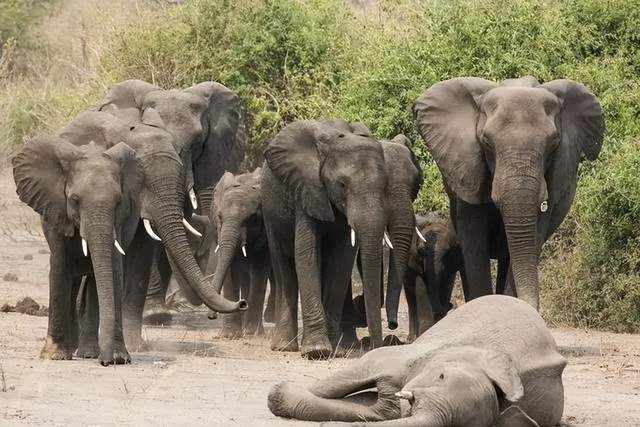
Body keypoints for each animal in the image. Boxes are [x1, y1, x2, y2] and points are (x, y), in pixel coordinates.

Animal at [13, 137, 144, 365]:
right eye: (74, 199)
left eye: (119, 202)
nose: (105, 362)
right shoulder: (55, 211)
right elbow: (59, 267)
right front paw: (55, 355)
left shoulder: (119, 222)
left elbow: (114, 272)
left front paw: (119, 358)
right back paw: (72, 349)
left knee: (91, 280)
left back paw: (87, 352)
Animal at [208, 167, 274, 337]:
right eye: (219, 216)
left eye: (253, 218)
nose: (212, 316)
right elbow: (230, 269)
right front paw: (230, 335)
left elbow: (260, 270)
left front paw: (253, 334)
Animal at [261, 119, 418, 358]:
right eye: (342, 185)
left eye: (384, 186)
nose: (392, 327)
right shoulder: (307, 188)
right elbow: (306, 253)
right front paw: (316, 351)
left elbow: (342, 260)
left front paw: (337, 349)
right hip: (270, 210)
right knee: (284, 268)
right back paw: (285, 347)